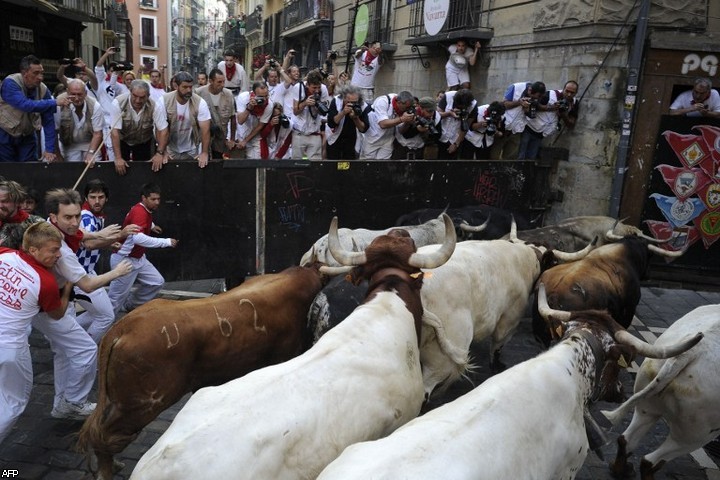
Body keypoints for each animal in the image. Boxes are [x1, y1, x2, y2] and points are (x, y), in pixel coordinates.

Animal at [600, 306, 720, 478]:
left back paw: (621, 470)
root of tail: (694, 350)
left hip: (647, 403)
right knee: (651, 461)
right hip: (697, 434)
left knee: (626, 439)